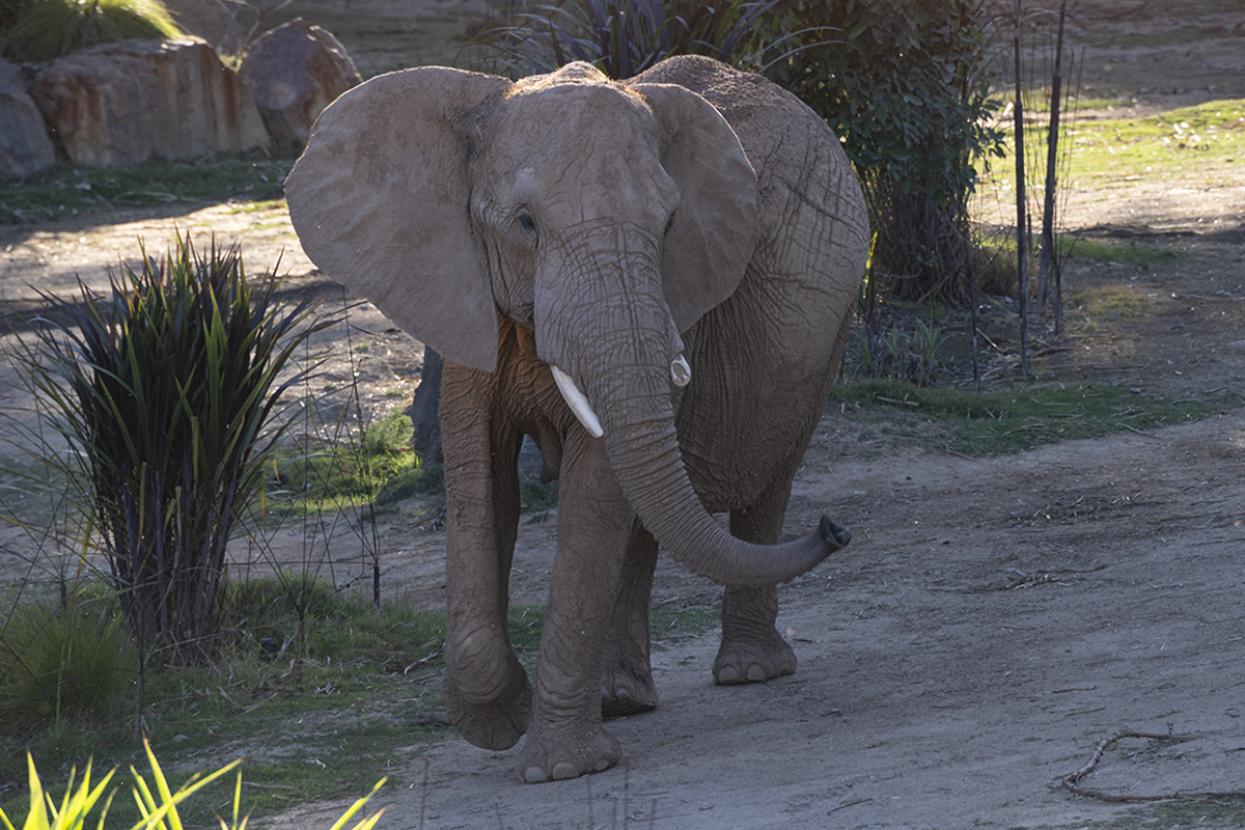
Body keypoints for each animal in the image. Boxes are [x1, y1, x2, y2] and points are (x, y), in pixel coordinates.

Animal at [285, 54, 868, 783]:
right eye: (525, 224)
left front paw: (560, 770)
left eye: (669, 225)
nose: (837, 529)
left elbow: (595, 492)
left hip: (829, 328)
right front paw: (502, 719)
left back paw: (747, 673)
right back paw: (622, 699)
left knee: (766, 478)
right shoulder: (462, 288)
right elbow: (482, 485)